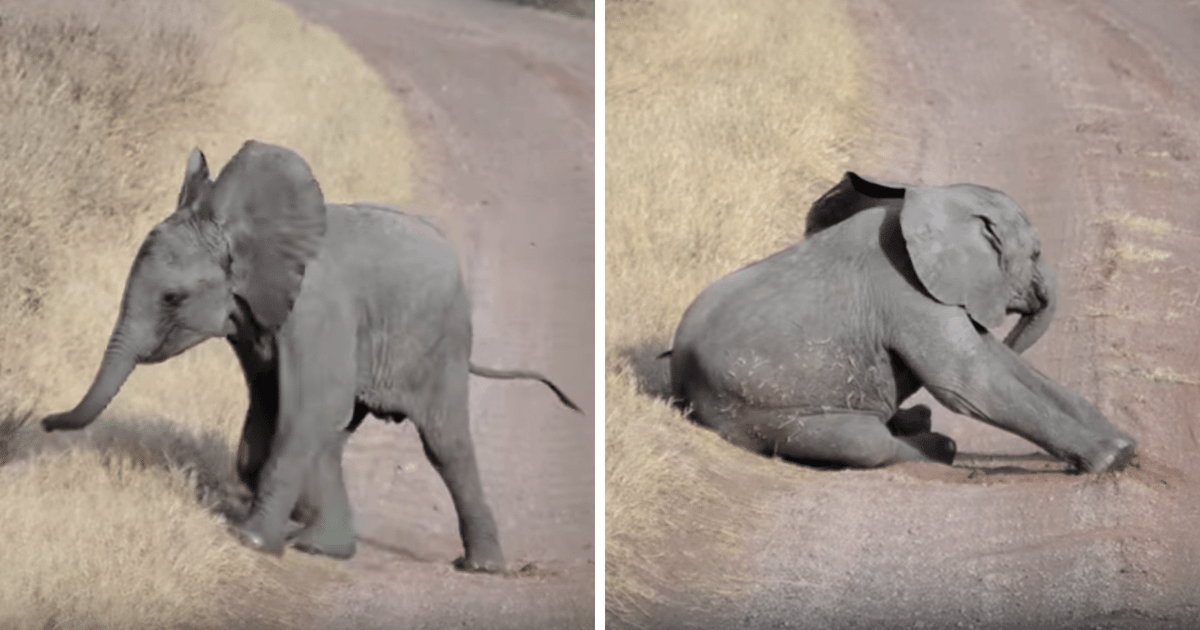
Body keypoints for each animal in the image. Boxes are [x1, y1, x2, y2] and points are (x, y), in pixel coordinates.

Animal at [49, 139, 583, 571]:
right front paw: (286, 524)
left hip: (442, 341)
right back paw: (322, 547)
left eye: (172, 298)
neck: (248, 233)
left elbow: (307, 409)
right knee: (336, 434)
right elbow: (272, 413)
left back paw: (482, 567)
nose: (45, 422)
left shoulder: (317, 309)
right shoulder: (254, 321)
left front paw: (250, 540)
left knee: (443, 443)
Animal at [672, 170, 1137, 470]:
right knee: (867, 444)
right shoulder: (906, 291)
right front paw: (1112, 458)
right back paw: (938, 446)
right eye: (1037, 253)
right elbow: (967, 381)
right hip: (757, 413)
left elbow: (991, 361)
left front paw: (1125, 443)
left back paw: (917, 420)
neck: (934, 200)